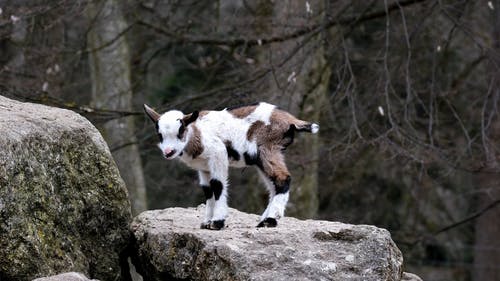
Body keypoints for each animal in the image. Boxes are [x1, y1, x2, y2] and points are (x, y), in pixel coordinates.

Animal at [143, 101, 318, 229]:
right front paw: (207, 222)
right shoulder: (204, 167)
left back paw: (270, 220)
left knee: (282, 178)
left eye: (180, 132)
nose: (168, 151)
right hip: (262, 157)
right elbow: (207, 190)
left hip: (267, 148)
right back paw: (264, 220)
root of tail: (290, 119)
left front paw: (217, 222)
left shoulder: (218, 154)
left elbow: (217, 185)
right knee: (273, 185)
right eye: (160, 135)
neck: (197, 134)